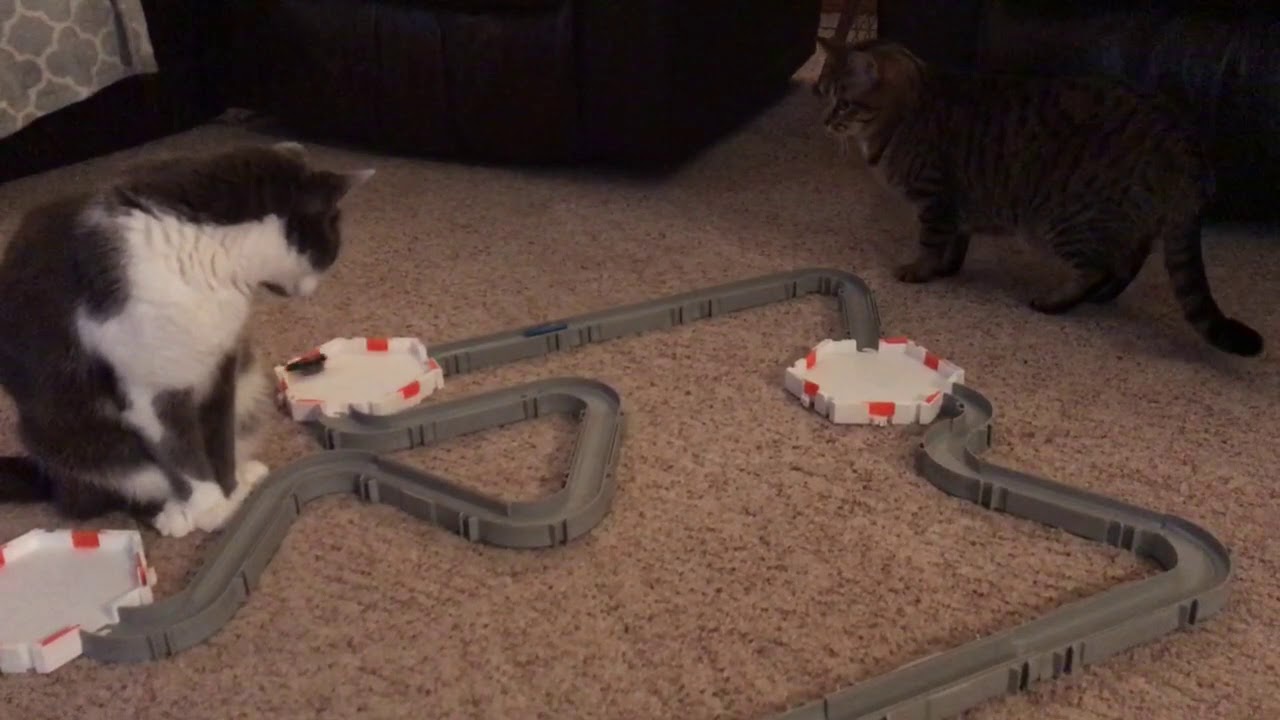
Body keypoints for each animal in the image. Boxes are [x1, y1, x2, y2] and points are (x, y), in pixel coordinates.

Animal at [0, 141, 374, 537]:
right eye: (329, 249)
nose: (312, 291)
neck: (208, 254)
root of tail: (49, 479)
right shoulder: (150, 388)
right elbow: (181, 452)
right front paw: (212, 508)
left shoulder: (220, 365)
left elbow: (219, 436)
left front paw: (231, 490)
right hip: (76, 440)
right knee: (100, 496)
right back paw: (170, 514)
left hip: (248, 379)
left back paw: (246, 473)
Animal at [813, 36, 1263, 357]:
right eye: (821, 93)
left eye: (844, 103)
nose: (825, 121)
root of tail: (1184, 140)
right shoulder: (959, 207)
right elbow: (956, 243)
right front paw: (947, 268)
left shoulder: (936, 199)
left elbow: (931, 243)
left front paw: (921, 270)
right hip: (1122, 219)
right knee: (1126, 262)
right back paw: (1101, 297)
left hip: (1065, 219)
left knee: (1096, 267)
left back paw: (1056, 300)